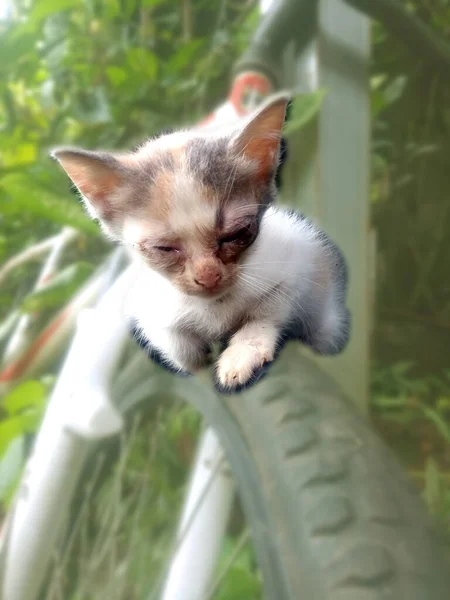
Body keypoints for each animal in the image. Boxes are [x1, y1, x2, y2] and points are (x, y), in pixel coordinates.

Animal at [51, 94, 348, 394]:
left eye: (237, 234)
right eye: (164, 248)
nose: (208, 276)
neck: (216, 306)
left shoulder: (298, 257)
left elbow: (268, 310)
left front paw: (242, 353)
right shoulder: (153, 310)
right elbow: (180, 348)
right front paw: (198, 365)